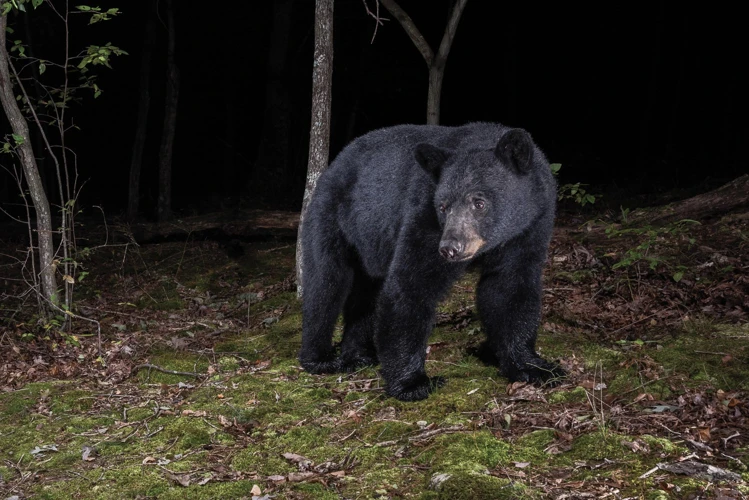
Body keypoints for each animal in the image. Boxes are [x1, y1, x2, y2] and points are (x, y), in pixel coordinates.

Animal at [298, 123, 560, 400]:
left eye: (479, 202)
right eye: (443, 206)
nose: (450, 249)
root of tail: (331, 167)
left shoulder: (529, 228)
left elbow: (510, 288)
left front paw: (532, 367)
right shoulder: (425, 216)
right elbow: (412, 285)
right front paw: (412, 383)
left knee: (367, 291)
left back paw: (359, 355)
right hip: (330, 219)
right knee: (326, 284)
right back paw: (319, 358)